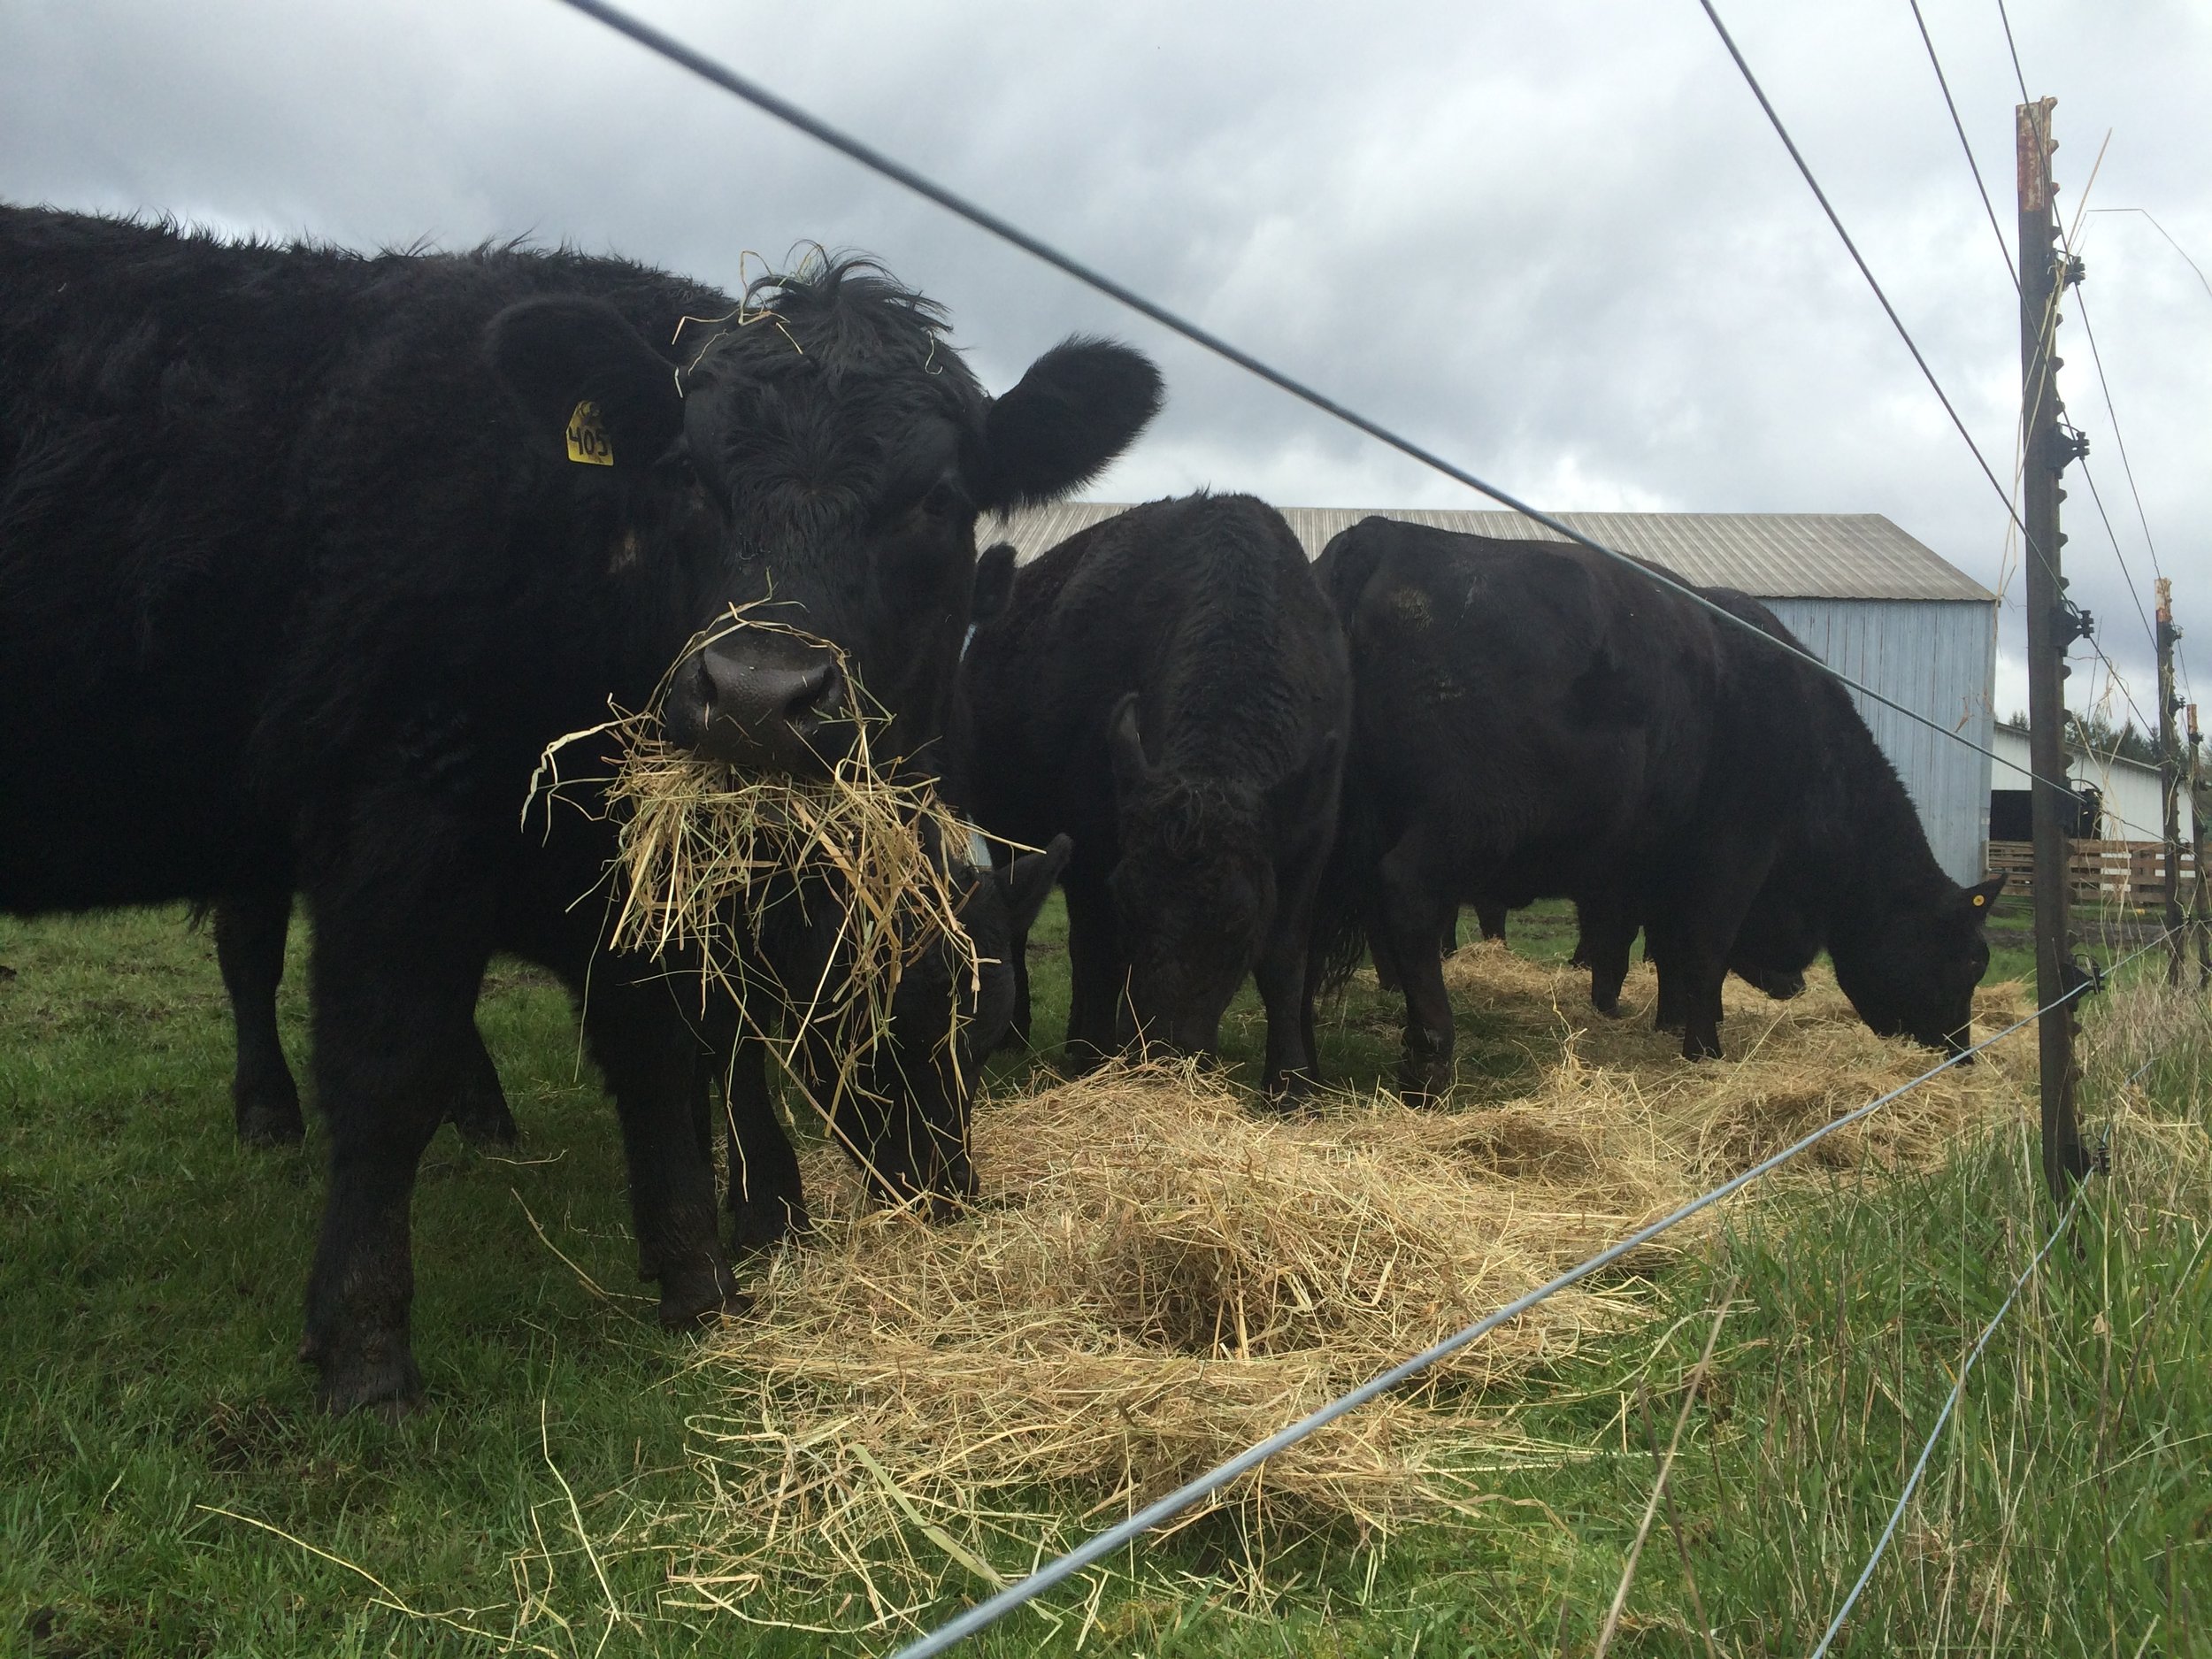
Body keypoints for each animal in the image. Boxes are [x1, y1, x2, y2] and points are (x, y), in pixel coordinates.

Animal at [0, 205, 1160, 1410]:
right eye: (687, 474)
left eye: (938, 499)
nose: (759, 695)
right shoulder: (399, 824)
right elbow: (386, 1074)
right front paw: (366, 1349)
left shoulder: (624, 887)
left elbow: (655, 1056)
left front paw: (699, 1283)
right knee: (249, 954)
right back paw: (273, 1109)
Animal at [958, 494, 1350, 1096]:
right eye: (1127, 900)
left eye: (1239, 920)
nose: (1163, 1054)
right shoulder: (1091, 851)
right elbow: (1097, 953)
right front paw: (1093, 1058)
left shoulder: (1310, 842)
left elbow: (1286, 962)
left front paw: (1291, 1082)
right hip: (1004, 830)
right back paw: (1021, 1034)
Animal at [1311, 517, 1997, 1094]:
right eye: (1970, 963)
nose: (1963, 1056)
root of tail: (1381, 534)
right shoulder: (1735, 851)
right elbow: (1702, 948)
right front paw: (1706, 1049)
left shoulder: (1654, 866)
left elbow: (1663, 947)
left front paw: (1671, 1023)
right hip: (1467, 821)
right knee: (1407, 898)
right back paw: (1432, 1055)